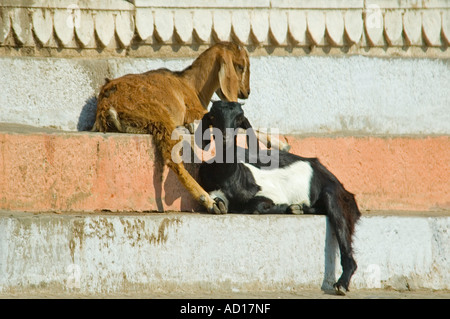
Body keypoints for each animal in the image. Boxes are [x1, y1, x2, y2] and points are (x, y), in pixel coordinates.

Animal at [90, 41, 253, 214]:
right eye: (240, 66)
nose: (246, 92)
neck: (191, 85)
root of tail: (107, 106)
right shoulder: (195, 111)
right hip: (158, 116)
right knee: (172, 158)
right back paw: (211, 203)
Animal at [197, 100, 362, 296]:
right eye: (213, 116)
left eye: (239, 118)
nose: (225, 138)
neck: (229, 176)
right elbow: (217, 201)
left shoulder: (270, 191)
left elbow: (256, 205)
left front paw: (282, 206)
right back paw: (299, 208)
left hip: (336, 197)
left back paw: (342, 284)